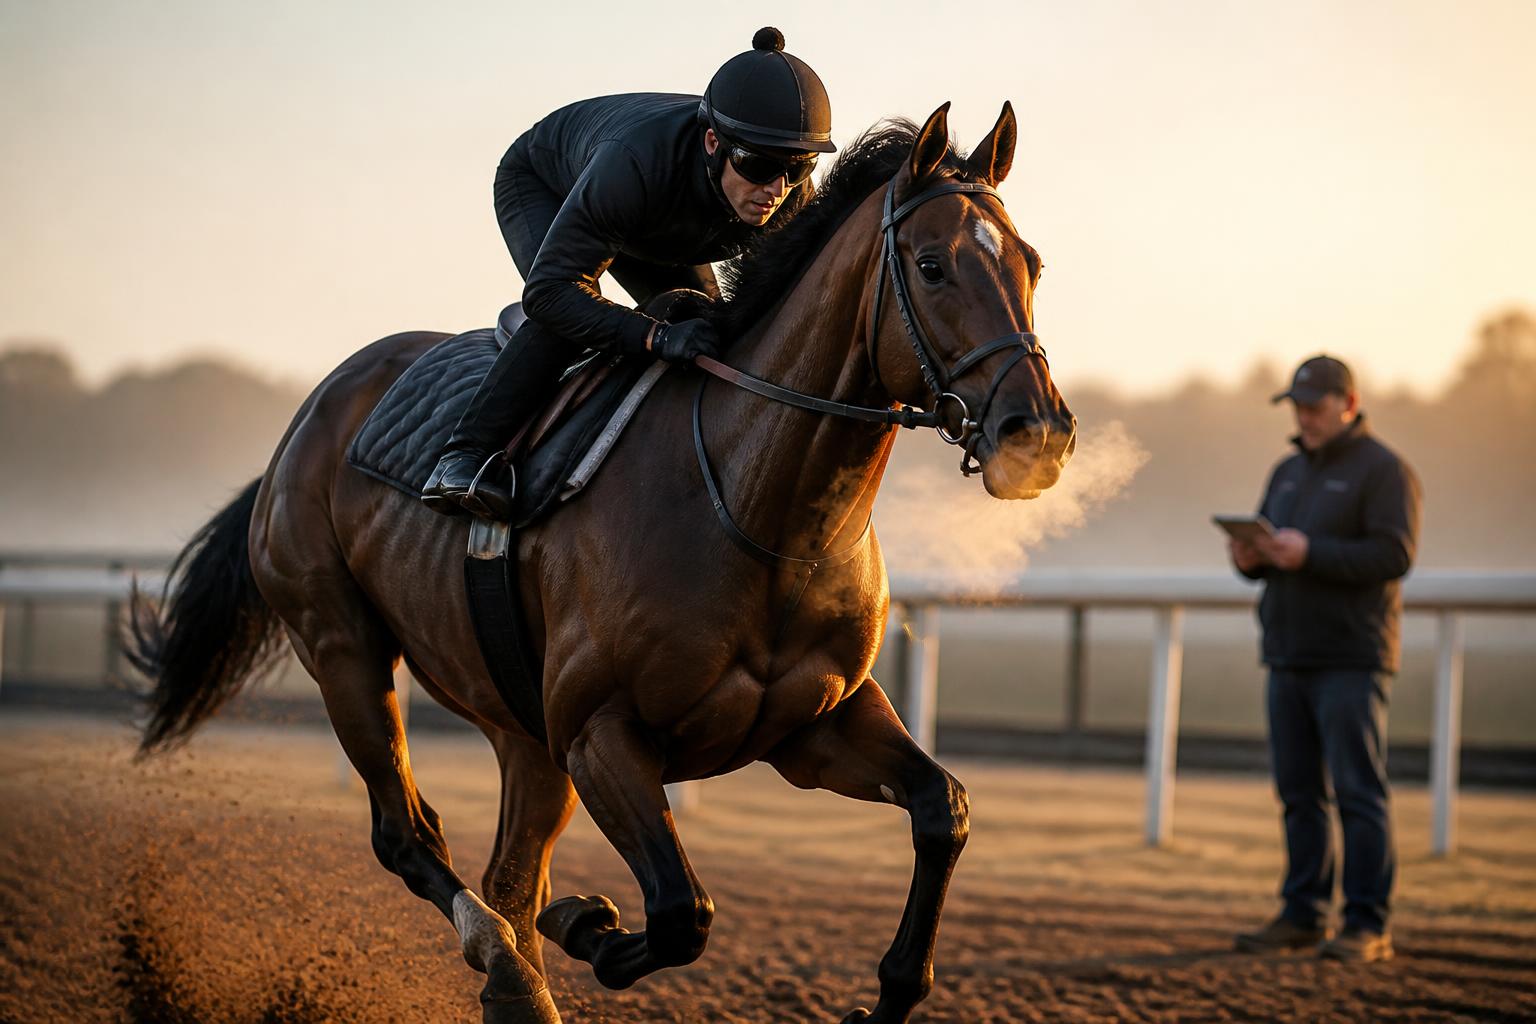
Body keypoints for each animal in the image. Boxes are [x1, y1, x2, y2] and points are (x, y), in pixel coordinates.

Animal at [128, 102, 1075, 1024]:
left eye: (1030, 263)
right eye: (932, 266)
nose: (1038, 435)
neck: (758, 509)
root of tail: (313, 413)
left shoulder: (813, 726)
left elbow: (942, 809)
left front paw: (888, 995)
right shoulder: (600, 733)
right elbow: (681, 912)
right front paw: (587, 923)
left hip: (519, 728)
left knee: (509, 870)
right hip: (342, 648)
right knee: (412, 836)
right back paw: (505, 963)